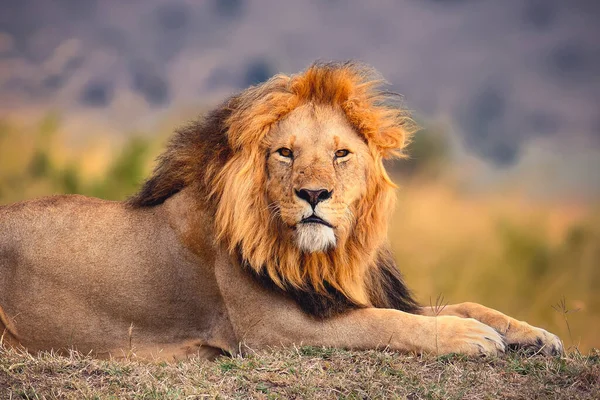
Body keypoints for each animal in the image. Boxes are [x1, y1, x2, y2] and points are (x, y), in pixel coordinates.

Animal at [0, 61, 564, 360]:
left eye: (341, 154)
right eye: (285, 153)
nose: (314, 195)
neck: (322, 257)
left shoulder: (338, 295)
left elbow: (463, 304)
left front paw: (534, 333)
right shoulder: (274, 332)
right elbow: (387, 324)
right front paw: (469, 337)